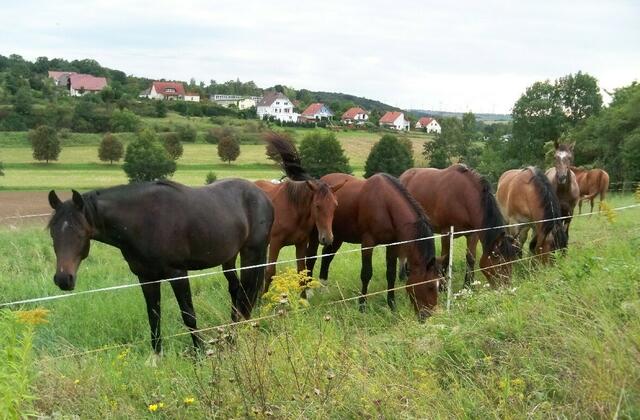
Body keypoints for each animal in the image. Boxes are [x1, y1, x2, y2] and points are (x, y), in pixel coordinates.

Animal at [48, 179, 274, 360]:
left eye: (80, 233)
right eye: (53, 233)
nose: (63, 279)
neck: (143, 221)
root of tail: (262, 195)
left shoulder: (177, 273)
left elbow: (188, 315)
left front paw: (199, 355)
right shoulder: (146, 277)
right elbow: (154, 316)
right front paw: (156, 358)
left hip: (252, 254)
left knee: (246, 294)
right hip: (229, 257)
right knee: (237, 292)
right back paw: (231, 338)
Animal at [255, 134, 345, 290]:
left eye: (335, 205)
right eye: (317, 205)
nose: (327, 238)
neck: (294, 212)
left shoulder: (301, 243)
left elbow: (302, 273)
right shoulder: (275, 243)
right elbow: (270, 272)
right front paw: (262, 296)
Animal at [305, 173, 440, 320]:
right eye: (430, 286)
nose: (427, 315)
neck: (385, 204)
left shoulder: (392, 245)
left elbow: (391, 274)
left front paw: (392, 305)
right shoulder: (367, 244)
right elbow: (366, 274)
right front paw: (362, 306)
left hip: (336, 237)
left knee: (327, 257)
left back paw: (323, 288)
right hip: (317, 235)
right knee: (311, 258)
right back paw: (309, 291)